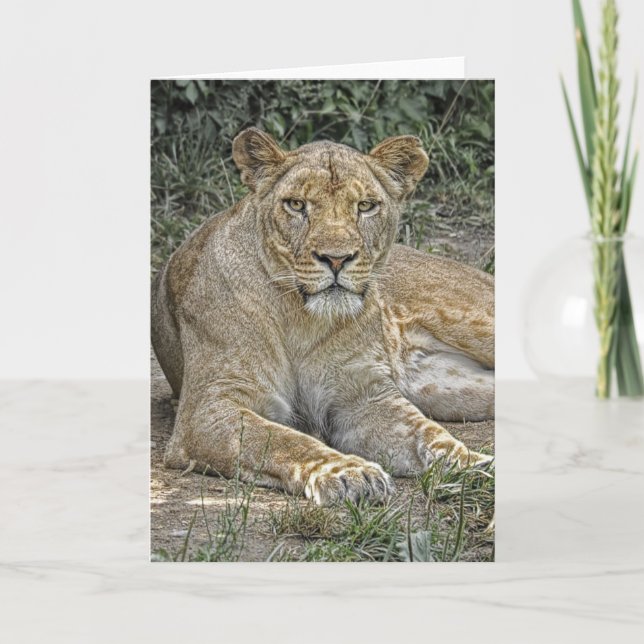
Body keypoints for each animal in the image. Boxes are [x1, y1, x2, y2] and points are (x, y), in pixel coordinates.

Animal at [151, 128, 494, 505]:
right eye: (297, 205)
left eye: (365, 206)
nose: (336, 258)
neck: (300, 319)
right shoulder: (209, 409)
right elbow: (284, 441)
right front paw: (348, 472)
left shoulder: (365, 397)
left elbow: (427, 433)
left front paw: (472, 466)